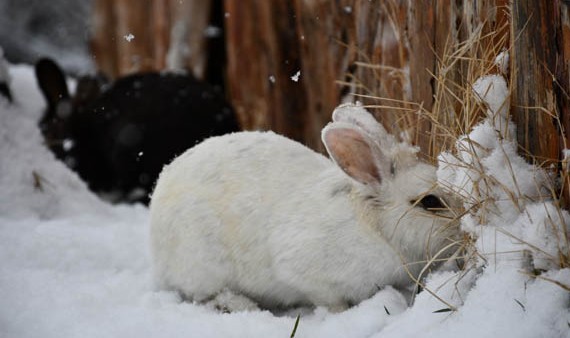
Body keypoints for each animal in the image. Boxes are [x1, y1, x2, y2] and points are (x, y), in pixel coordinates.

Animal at [149, 102, 460, 312]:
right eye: (430, 202)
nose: (461, 229)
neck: (377, 226)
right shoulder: (307, 274)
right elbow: (330, 300)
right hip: (203, 267)